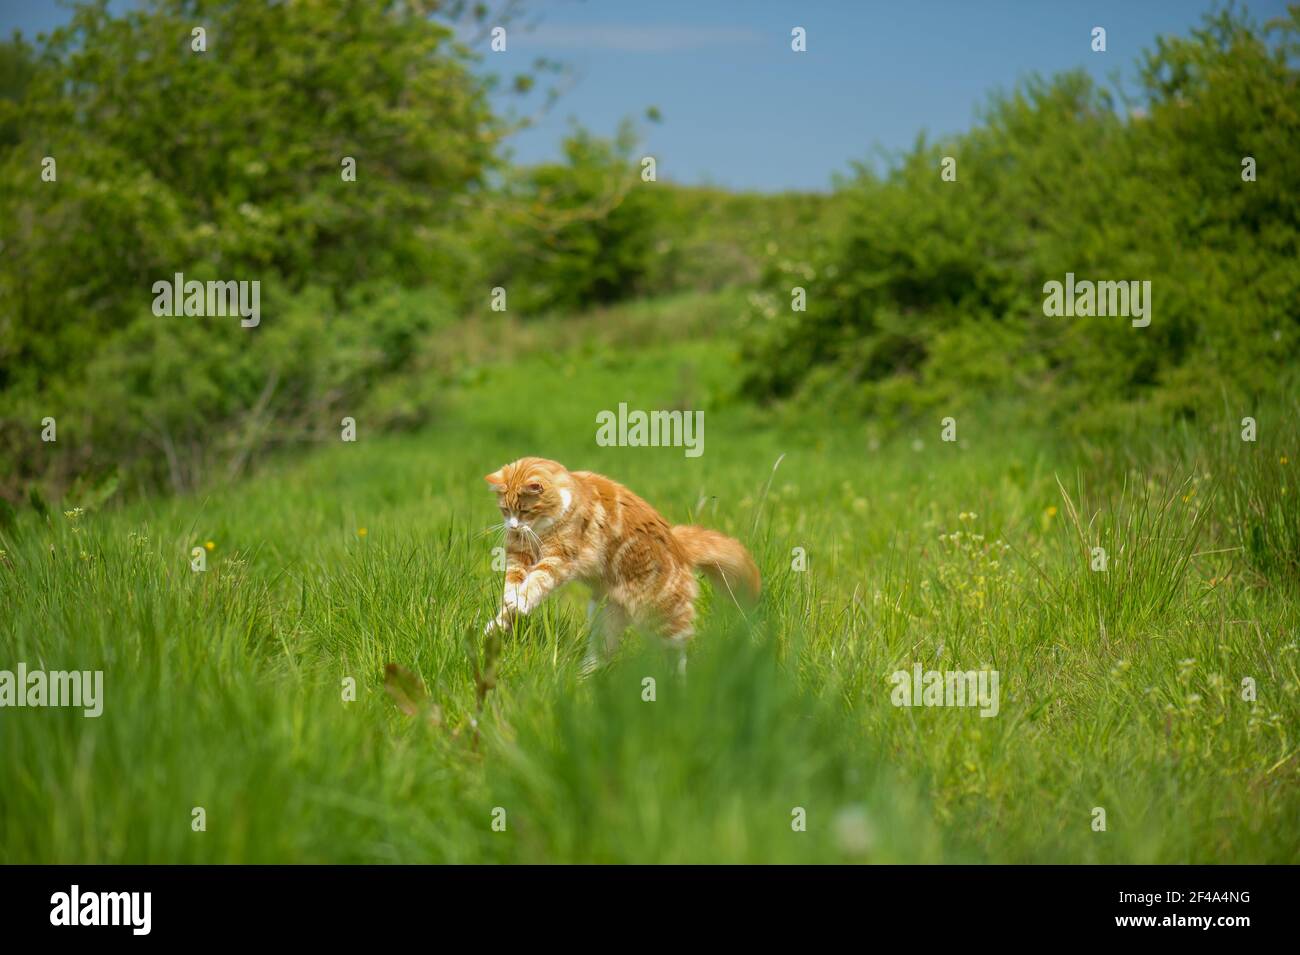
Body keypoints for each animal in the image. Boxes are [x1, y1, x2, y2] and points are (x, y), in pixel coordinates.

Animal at [483, 459, 759, 670]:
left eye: (524, 510)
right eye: (505, 510)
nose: (512, 526)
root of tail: (678, 542)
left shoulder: (558, 558)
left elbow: (536, 581)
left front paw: (517, 601)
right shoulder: (519, 555)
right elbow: (513, 584)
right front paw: (500, 619)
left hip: (662, 615)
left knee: (679, 649)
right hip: (604, 616)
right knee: (603, 652)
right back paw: (584, 676)